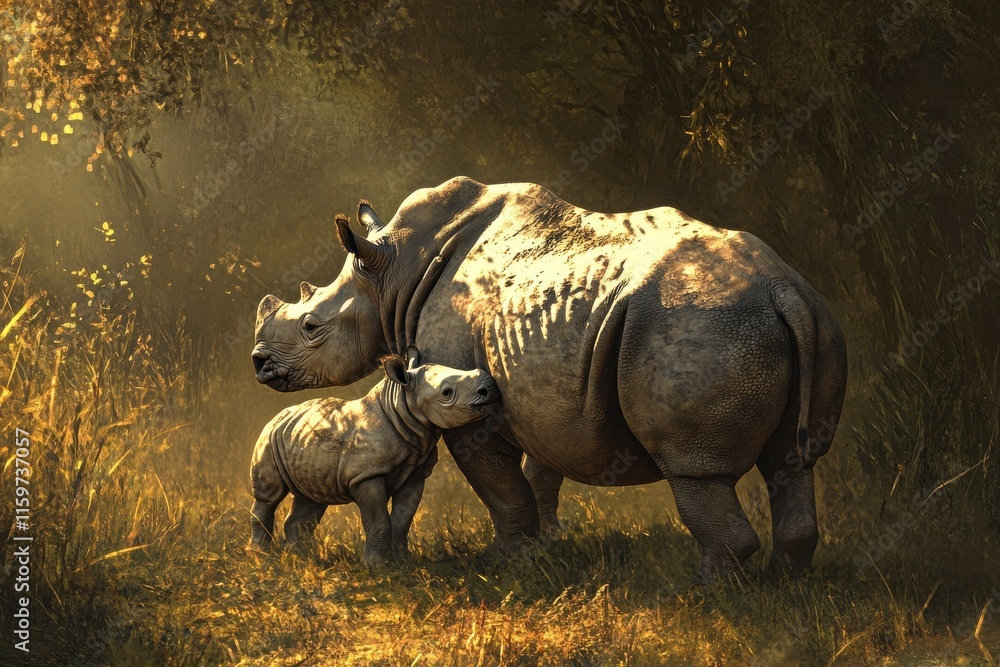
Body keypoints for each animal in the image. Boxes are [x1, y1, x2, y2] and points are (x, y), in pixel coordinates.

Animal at [249, 346, 501, 565]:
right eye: (447, 393)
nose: (490, 388)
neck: (402, 406)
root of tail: (278, 416)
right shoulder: (366, 474)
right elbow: (379, 520)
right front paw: (375, 566)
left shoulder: (416, 472)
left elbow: (403, 519)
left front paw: (402, 561)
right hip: (268, 438)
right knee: (269, 496)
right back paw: (262, 555)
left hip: (300, 442)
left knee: (312, 498)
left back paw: (301, 557)